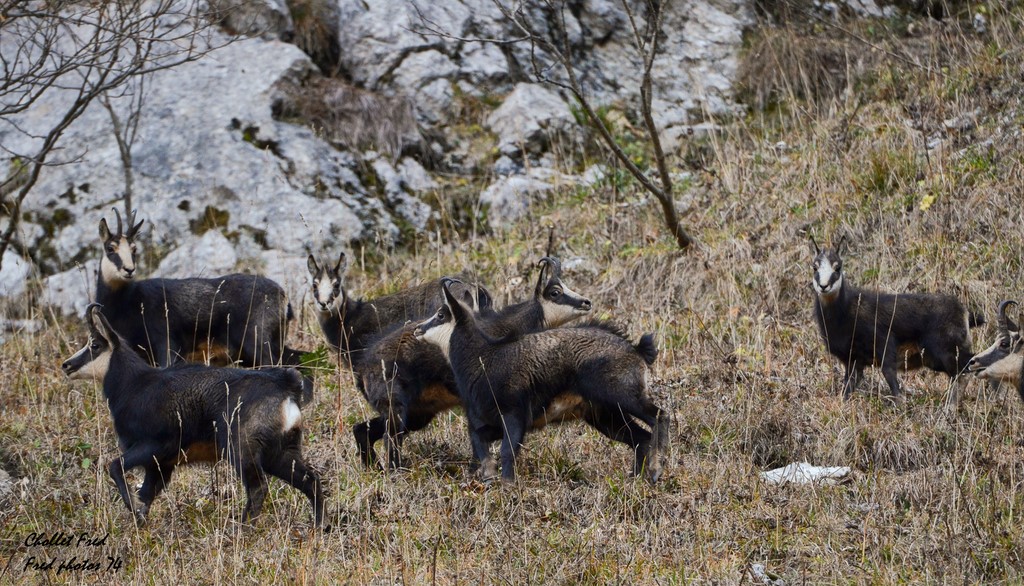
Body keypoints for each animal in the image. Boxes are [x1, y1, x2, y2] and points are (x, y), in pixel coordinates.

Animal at [61, 304, 325, 528]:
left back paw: (240, 530)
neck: (133, 386)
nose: (66, 365)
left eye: (95, 345)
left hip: (242, 448)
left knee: (258, 488)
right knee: (309, 480)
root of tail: (288, 386)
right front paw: (139, 525)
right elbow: (146, 495)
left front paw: (132, 508)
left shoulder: (154, 446)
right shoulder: (161, 465)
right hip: (280, 451)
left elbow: (114, 466)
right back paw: (319, 527)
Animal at [96, 209, 300, 367]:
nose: (129, 269)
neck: (129, 301)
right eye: (110, 248)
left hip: (256, 340)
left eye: (134, 249)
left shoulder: (166, 342)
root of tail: (283, 298)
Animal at [352, 257, 593, 469]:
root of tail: (362, 368)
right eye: (555, 292)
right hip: (396, 406)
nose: (586, 302)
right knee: (390, 437)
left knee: (362, 430)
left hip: (418, 412)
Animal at [413, 280, 669, 483]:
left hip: (622, 396)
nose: (416, 328)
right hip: (606, 415)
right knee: (640, 439)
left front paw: (507, 486)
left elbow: (507, 451)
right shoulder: (487, 423)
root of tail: (636, 350)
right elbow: (481, 449)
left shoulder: (514, 414)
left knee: (659, 416)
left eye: (441, 314)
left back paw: (656, 470)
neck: (483, 358)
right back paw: (636, 479)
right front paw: (488, 480)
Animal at [810, 235, 981, 402]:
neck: (845, 313)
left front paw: (900, 403)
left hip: (944, 349)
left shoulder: (884, 343)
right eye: (815, 267)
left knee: (965, 371)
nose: (824, 286)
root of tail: (965, 312)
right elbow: (848, 386)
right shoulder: (853, 359)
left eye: (837, 267)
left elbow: (890, 377)